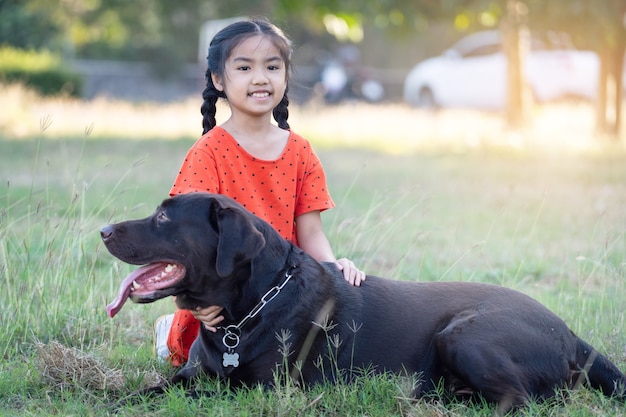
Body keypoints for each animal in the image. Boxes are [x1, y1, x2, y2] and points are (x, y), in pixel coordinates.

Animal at [100, 193, 620, 412]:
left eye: (164, 217)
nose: (103, 230)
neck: (249, 308)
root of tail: (571, 333)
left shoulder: (259, 388)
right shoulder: (192, 374)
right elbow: (149, 388)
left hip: (464, 335)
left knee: (521, 401)